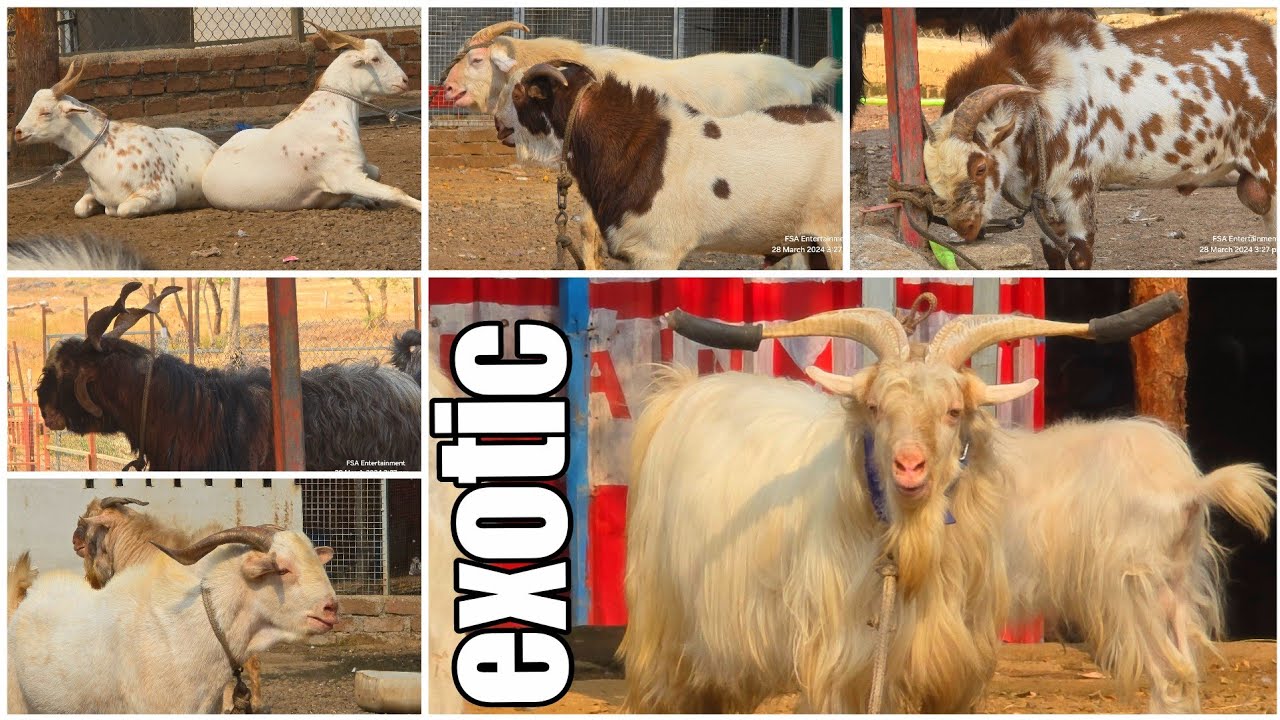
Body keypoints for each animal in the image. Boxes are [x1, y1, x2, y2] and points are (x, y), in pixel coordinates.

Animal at [12, 62, 217, 218]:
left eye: (45, 112)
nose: (18, 132)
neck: (107, 153)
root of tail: (213, 145)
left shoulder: (161, 193)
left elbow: (121, 210)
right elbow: (79, 208)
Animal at [201, 25, 421, 213]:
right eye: (375, 59)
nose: (405, 80)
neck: (331, 110)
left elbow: (377, 171)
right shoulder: (345, 175)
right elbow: (395, 191)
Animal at [623, 292, 1183, 711]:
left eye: (954, 411)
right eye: (875, 407)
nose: (909, 467)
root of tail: (679, 393)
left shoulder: (954, 674)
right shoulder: (842, 669)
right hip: (664, 631)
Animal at [923, 11, 1275, 269]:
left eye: (980, 167)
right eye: (931, 175)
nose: (964, 226)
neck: (1044, 91)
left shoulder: (1078, 187)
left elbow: (1080, 255)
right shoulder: (1043, 198)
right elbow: (1053, 254)